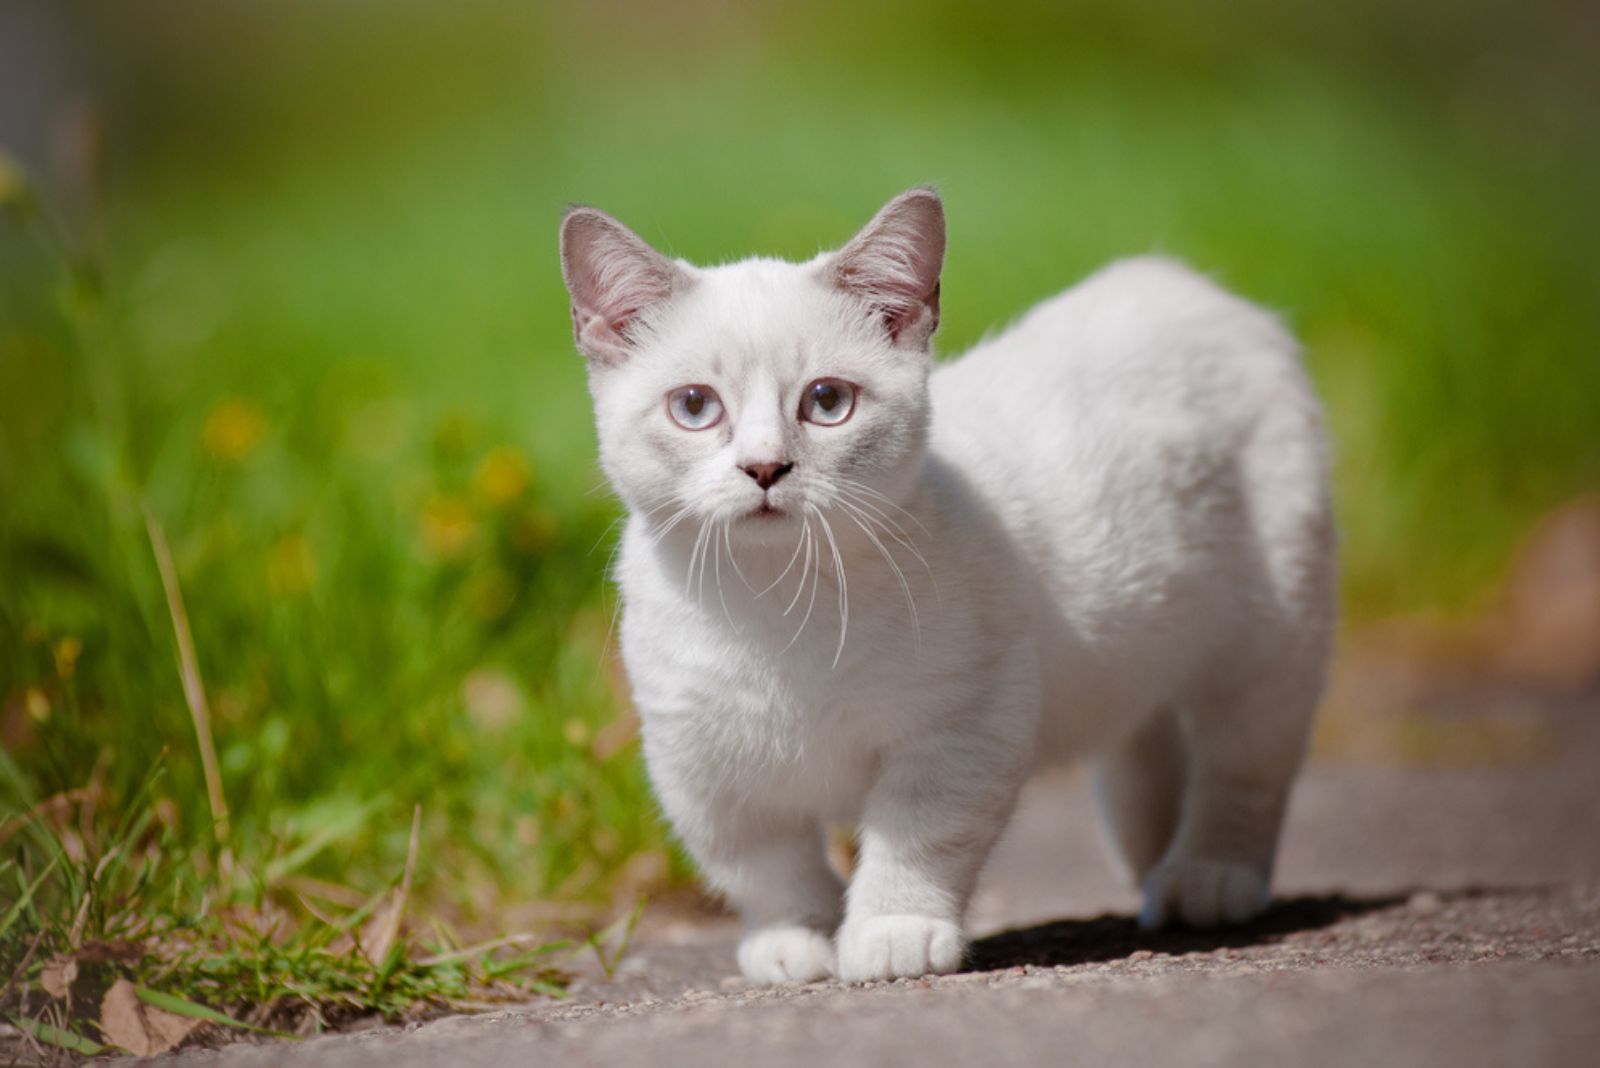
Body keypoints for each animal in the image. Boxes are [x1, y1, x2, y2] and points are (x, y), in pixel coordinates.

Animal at [556, 189, 1331, 984]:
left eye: (827, 401)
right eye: (694, 407)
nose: (765, 468)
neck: (775, 606)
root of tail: (1181, 282)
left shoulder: (962, 725)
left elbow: (917, 838)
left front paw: (892, 932)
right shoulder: (699, 763)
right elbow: (764, 865)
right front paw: (794, 940)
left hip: (1271, 633)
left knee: (1243, 766)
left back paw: (1207, 877)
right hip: (1142, 654)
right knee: (1144, 748)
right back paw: (1153, 871)